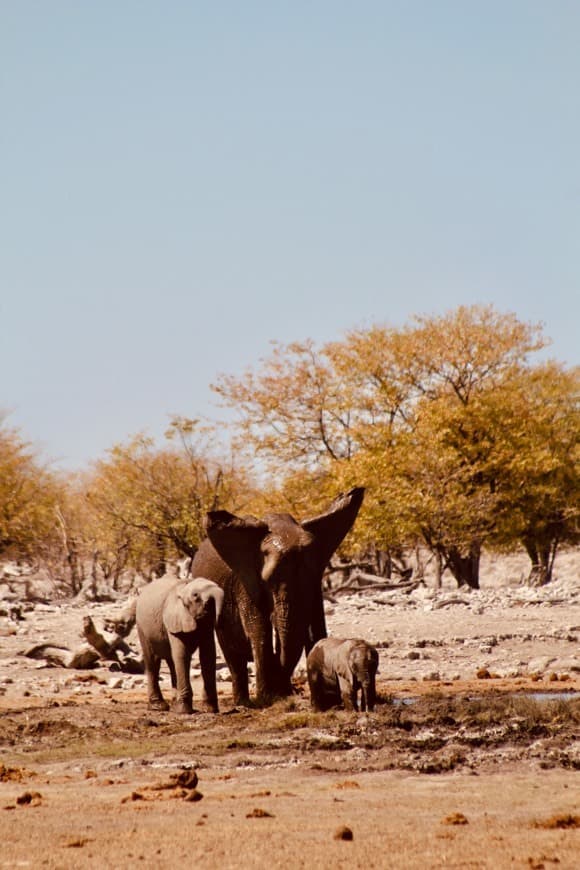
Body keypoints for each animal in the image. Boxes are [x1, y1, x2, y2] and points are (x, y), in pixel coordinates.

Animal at [136, 580, 224, 716]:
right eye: (196, 596)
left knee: (172, 662)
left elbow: (208, 655)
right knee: (153, 661)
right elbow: (182, 655)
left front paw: (210, 710)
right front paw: (184, 711)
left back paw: (173, 704)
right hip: (142, 627)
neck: (184, 588)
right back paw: (158, 707)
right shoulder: (174, 620)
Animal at [189, 488, 362, 704]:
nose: (286, 691)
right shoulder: (245, 581)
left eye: (314, 576)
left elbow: (309, 628)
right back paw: (243, 703)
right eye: (268, 580)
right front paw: (267, 699)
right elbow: (259, 628)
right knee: (230, 648)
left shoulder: (314, 586)